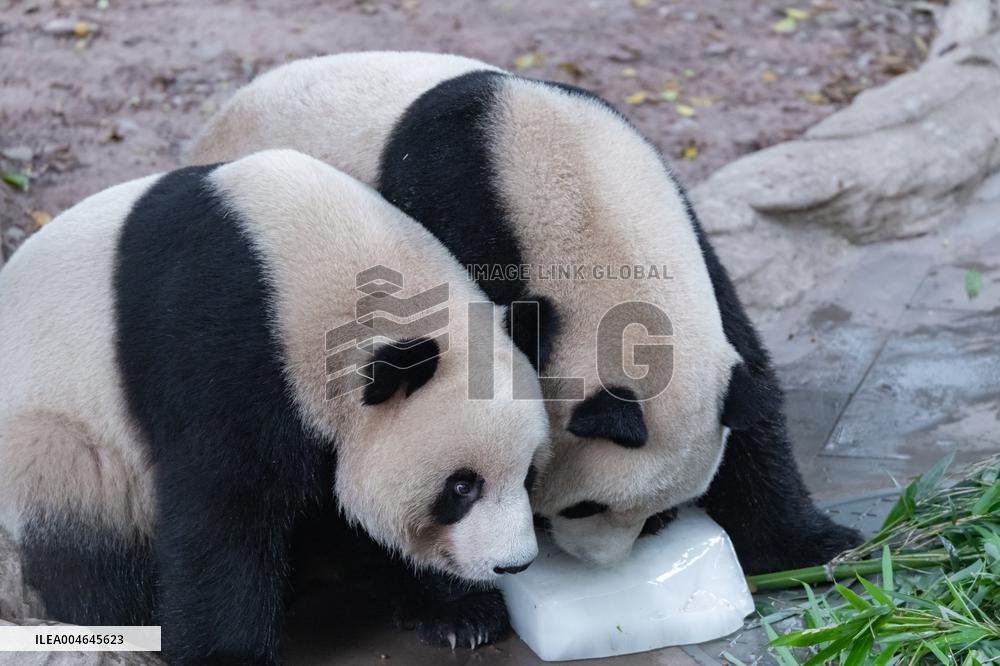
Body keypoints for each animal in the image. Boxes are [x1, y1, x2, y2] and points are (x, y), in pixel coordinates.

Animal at [0, 149, 550, 664]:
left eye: (528, 476)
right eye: (461, 487)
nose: (514, 564)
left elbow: (345, 509)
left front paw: (461, 612)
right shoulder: (224, 351)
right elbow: (223, 509)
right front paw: (227, 654)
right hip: (62, 434)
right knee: (86, 529)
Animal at [191, 50, 862, 632]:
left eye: (641, 516)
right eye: (585, 507)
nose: (601, 563)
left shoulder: (689, 238)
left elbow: (752, 394)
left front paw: (820, 547)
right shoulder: (448, 214)